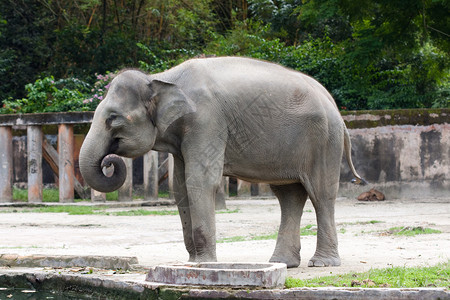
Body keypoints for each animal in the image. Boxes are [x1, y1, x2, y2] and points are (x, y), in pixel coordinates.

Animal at [80, 55, 366, 268]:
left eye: (113, 119)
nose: (109, 162)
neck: (161, 78)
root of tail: (334, 105)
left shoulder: (206, 120)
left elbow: (200, 180)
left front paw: (203, 264)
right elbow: (180, 186)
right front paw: (192, 263)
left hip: (324, 140)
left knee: (321, 194)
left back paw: (322, 263)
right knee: (289, 196)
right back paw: (282, 263)